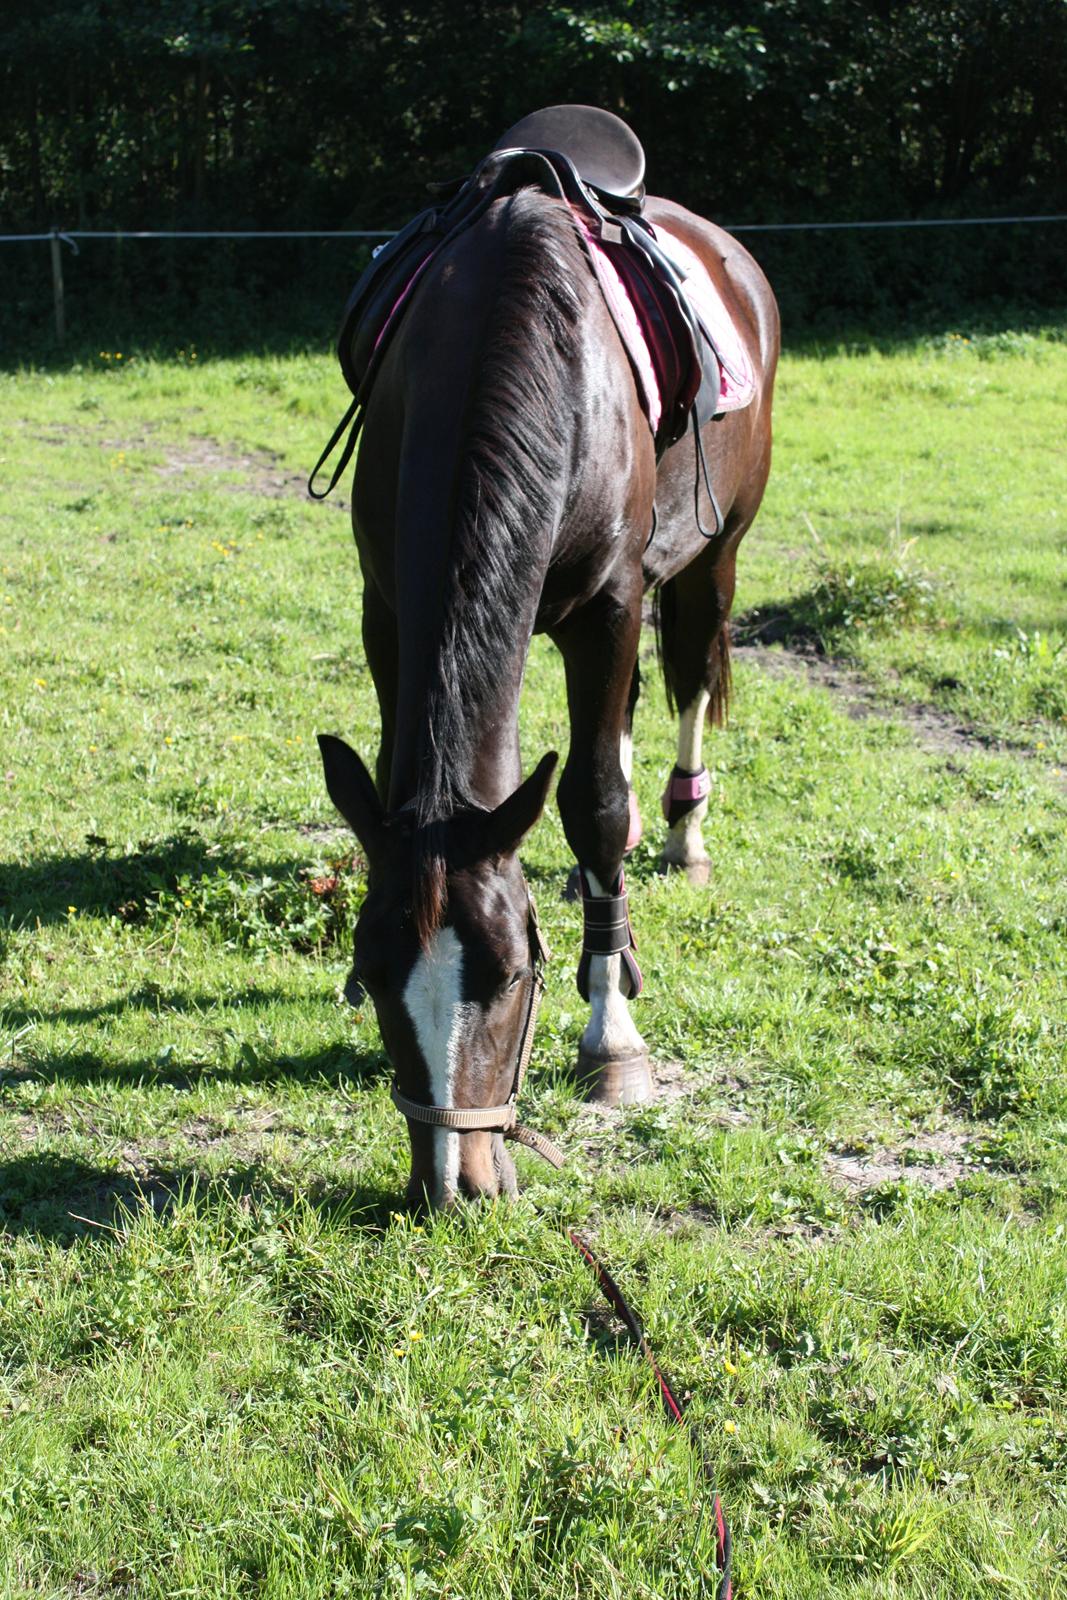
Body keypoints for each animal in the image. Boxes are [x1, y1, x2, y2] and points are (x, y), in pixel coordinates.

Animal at [316, 121, 777, 1209]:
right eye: (372, 967)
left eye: (513, 975)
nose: (455, 1182)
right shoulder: (387, 609)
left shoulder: (608, 608)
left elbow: (595, 803)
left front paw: (613, 1041)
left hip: (712, 557)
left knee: (684, 682)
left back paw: (680, 833)